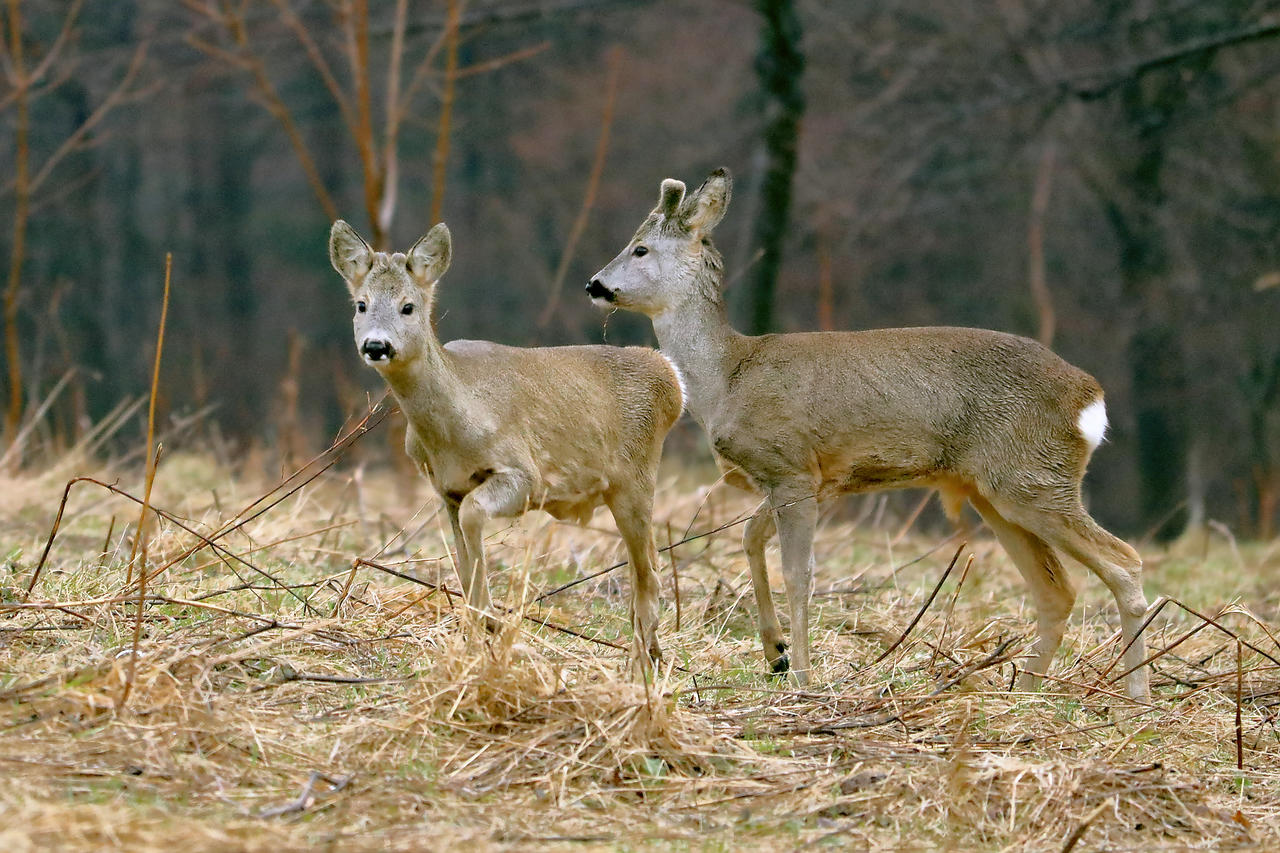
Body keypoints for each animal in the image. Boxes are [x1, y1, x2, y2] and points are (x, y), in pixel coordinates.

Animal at [335, 219, 686, 671]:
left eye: (408, 307)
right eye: (361, 305)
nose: (376, 345)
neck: (457, 422)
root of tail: (672, 378)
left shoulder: (525, 475)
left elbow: (474, 519)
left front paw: (490, 622)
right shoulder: (445, 488)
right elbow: (463, 558)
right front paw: (473, 633)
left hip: (636, 478)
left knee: (650, 572)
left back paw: (643, 663)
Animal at [586, 167, 1152, 696]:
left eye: (639, 248)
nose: (594, 284)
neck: (727, 376)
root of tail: (1089, 397)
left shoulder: (790, 468)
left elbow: (800, 573)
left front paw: (802, 676)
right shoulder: (811, 479)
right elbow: (749, 538)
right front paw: (776, 652)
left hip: (1032, 478)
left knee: (1124, 561)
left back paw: (1133, 694)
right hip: (999, 493)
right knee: (1057, 590)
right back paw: (1028, 691)